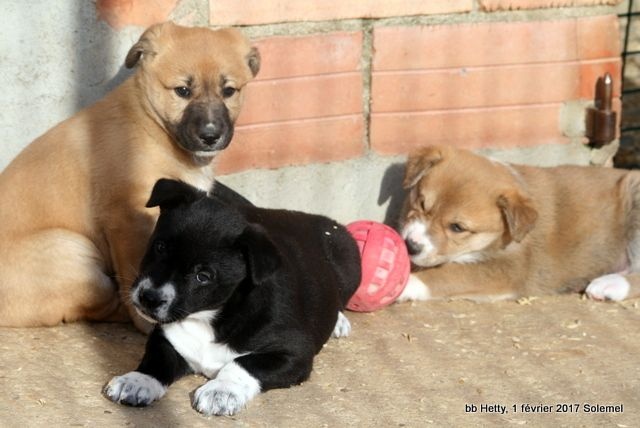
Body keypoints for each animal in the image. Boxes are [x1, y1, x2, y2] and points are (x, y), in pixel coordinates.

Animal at [0, 22, 260, 332]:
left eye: (229, 91)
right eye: (182, 91)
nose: (211, 136)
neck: (153, 127)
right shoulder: (128, 218)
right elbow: (137, 268)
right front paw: (147, 320)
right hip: (72, 251)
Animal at [105, 179, 360, 416]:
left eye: (203, 276)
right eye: (160, 247)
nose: (149, 297)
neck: (210, 318)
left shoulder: (294, 351)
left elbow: (244, 363)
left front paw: (222, 390)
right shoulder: (167, 337)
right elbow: (157, 360)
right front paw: (137, 380)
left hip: (349, 263)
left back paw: (339, 322)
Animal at [398, 147, 640, 304]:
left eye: (457, 227)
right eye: (421, 203)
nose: (410, 246)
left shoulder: (508, 270)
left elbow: (448, 274)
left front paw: (407, 283)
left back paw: (610, 284)